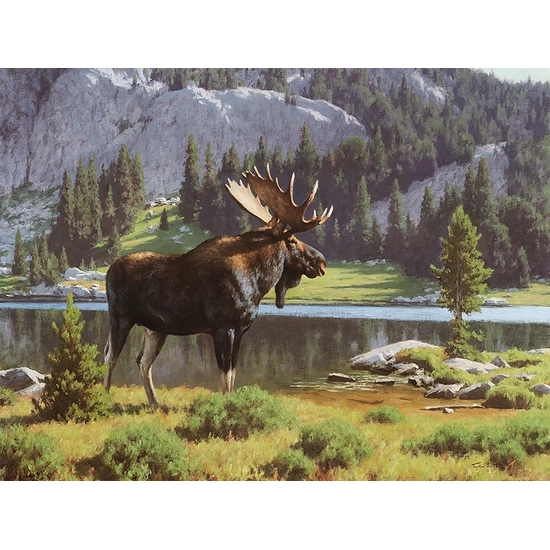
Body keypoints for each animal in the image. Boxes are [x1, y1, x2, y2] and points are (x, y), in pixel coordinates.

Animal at [105, 164, 334, 410]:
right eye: (292, 240)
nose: (322, 262)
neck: (258, 283)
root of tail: (108, 271)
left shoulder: (240, 330)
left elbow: (232, 373)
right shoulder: (223, 328)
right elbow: (225, 374)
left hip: (156, 328)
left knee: (142, 361)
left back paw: (155, 403)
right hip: (120, 318)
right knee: (110, 356)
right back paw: (104, 396)